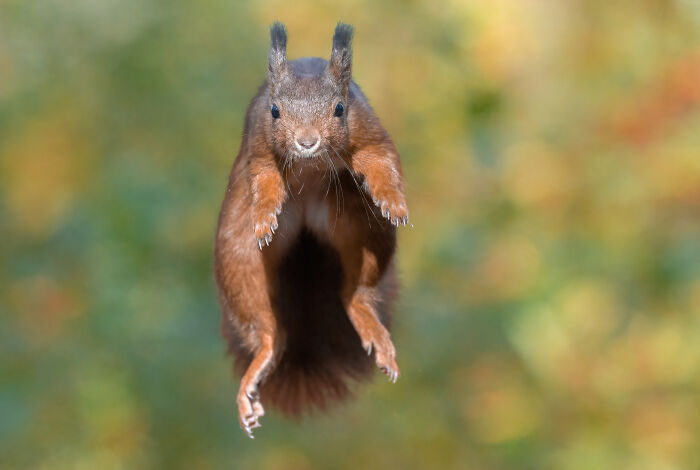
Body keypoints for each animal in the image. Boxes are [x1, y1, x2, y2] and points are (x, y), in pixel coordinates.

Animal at [214, 22, 409, 438]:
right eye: (275, 111)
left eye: (339, 109)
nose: (307, 142)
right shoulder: (259, 145)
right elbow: (264, 178)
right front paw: (264, 216)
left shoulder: (367, 130)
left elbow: (383, 161)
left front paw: (393, 202)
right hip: (239, 263)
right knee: (267, 331)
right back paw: (258, 364)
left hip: (365, 234)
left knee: (355, 293)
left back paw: (371, 327)